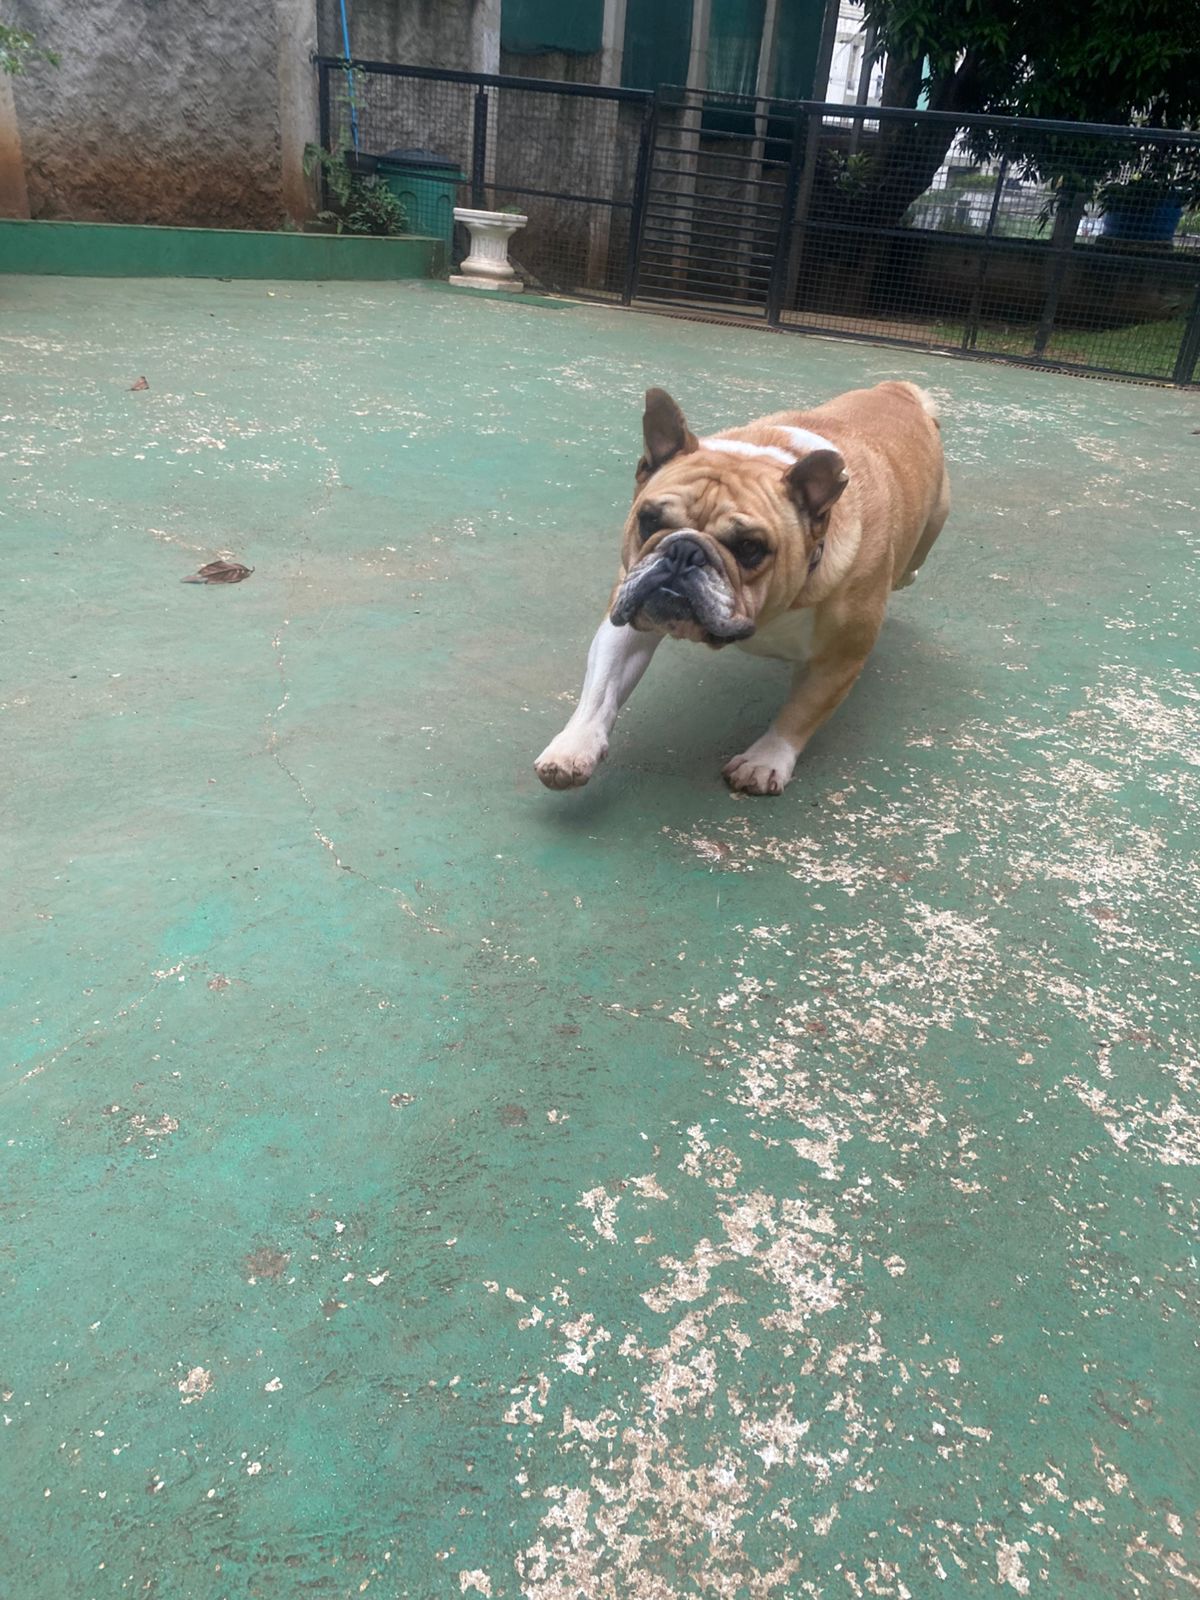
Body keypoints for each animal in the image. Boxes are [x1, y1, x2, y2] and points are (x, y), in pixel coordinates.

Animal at [535, 381, 949, 796]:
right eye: (648, 520)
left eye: (750, 547)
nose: (684, 552)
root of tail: (897, 389)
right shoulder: (629, 616)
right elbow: (602, 686)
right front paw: (575, 745)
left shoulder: (839, 658)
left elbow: (800, 713)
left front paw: (764, 761)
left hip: (933, 525)